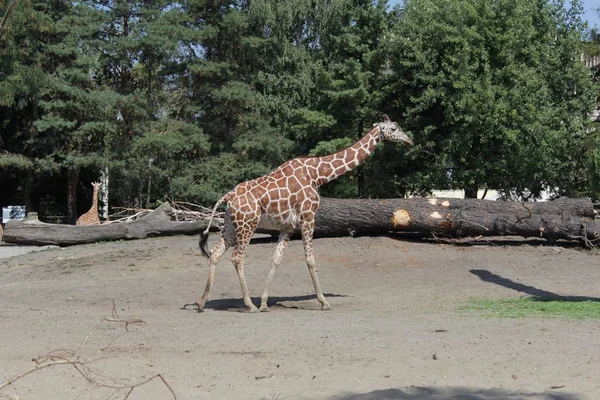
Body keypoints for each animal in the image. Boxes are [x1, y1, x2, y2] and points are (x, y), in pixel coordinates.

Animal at [188, 115, 412, 312]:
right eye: (393, 129)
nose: (409, 140)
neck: (317, 175)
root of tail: (227, 197)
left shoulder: (288, 226)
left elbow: (276, 259)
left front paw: (264, 302)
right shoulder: (308, 216)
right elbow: (310, 259)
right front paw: (324, 301)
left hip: (230, 225)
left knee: (215, 253)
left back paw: (202, 302)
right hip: (247, 224)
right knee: (236, 257)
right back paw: (248, 305)